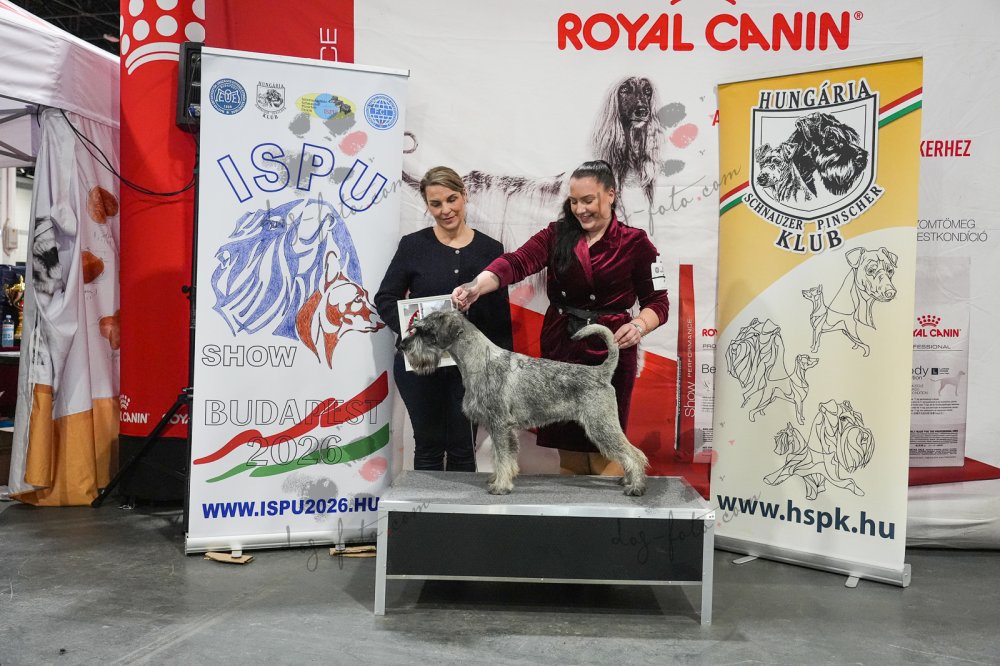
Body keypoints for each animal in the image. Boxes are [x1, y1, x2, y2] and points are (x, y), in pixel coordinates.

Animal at [399, 310, 649, 496]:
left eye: (423, 330)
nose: (402, 346)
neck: (479, 361)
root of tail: (601, 372)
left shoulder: (500, 425)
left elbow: (503, 456)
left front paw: (501, 486)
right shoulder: (496, 427)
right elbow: (500, 456)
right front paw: (497, 479)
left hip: (601, 426)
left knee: (634, 453)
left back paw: (635, 487)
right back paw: (628, 481)